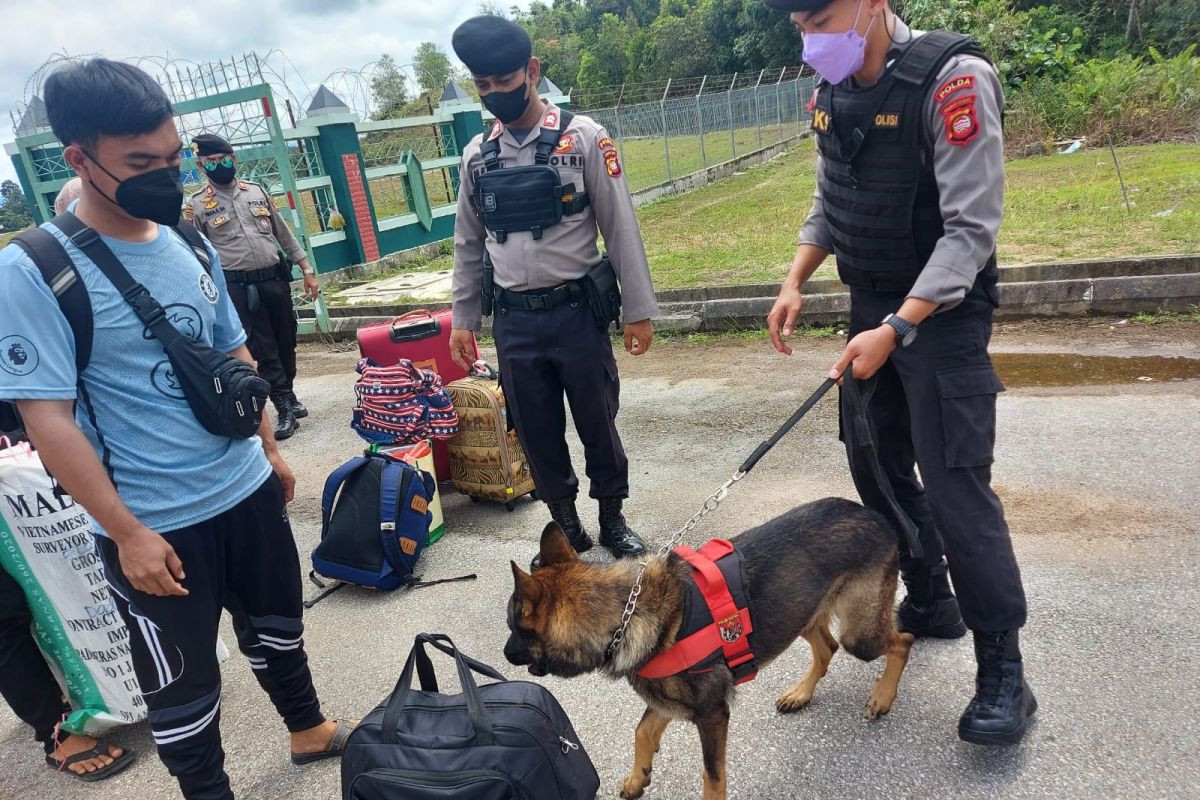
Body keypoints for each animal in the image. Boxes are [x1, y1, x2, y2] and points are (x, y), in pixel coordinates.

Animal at [504, 496, 907, 796]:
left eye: (512, 626)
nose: (505, 654)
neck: (627, 613)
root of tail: (874, 515)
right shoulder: (669, 699)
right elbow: (642, 731)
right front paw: (638, 777)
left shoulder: (711, 713)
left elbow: (712, 776)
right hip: (800, 614)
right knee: (827, 647)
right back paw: (801, 694)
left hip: (860, 635)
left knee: (901, 641)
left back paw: (882, 697)